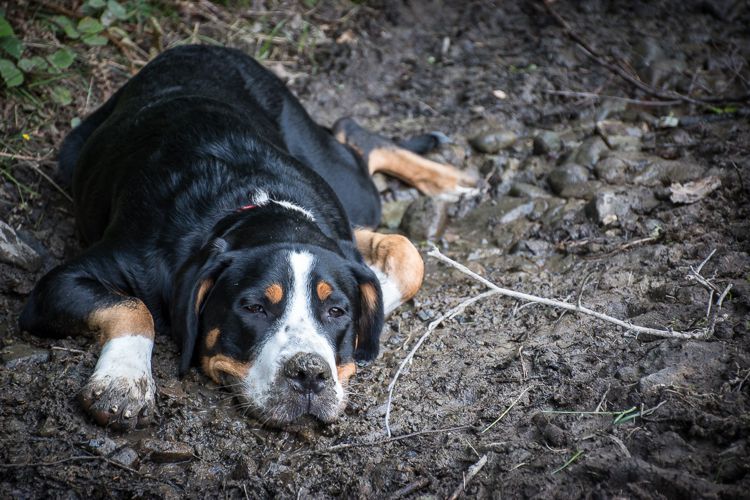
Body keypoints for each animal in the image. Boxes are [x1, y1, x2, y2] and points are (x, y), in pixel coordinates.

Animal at [20, 44, 478, 430]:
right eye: (254, 308)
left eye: (337, 311)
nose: (310, 372)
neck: (252, 201)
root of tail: (202, 45)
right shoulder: (63, 281)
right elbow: (133, 308)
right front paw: (123, 381)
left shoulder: (341, 236)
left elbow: (406, 258)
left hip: (344, 188)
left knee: (356, 143)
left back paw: (452, 179)